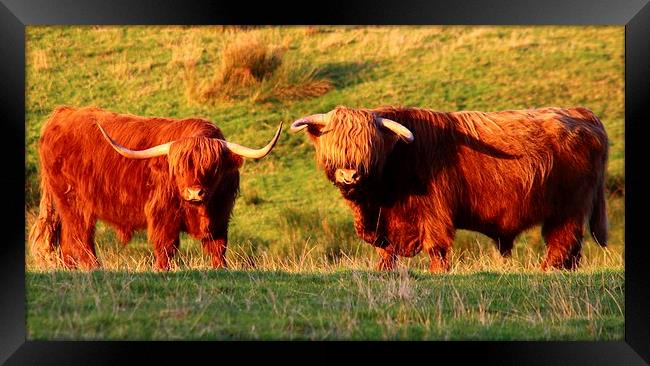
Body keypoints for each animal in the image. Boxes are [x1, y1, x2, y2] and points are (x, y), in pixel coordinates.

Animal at [29, 106, 280, 268]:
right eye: (178, 168)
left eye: (214, 166)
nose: (194, 192)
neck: (200, 210)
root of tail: (62, 113)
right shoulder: (163, 216)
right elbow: (166, 248)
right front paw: (162, 270)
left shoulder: (220, 217)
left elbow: (218, 249)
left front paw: (220, 270)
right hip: (75, 204)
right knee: (80, 238)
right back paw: (95, 268)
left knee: (68, 242)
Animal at [292, 106, 604, 272]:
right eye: (333, 146)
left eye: (367, 148)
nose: (349, 175)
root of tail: (582, 113)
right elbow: (386, 251)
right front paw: (382, 271)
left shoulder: (434, 211)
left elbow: (437, 246)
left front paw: (438, 272)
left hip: (569, 207)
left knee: (563, 240)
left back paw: (546, 269)